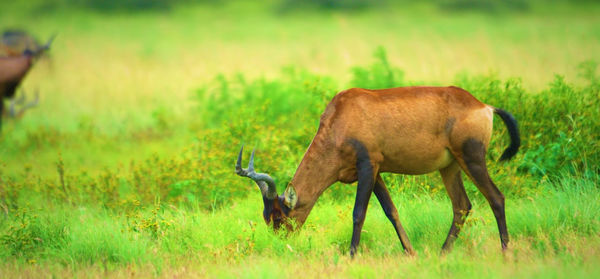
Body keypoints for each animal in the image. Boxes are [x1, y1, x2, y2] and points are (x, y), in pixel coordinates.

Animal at [237, 86, 516, 258]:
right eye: (266, 217)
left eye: (278, 217)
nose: (277, 247)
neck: (343, 115)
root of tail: (484, 106)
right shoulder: (377, 171)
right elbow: (391, 211)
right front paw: (411, 253)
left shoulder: (367, 165)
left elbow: (358, 213)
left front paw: (351, 255)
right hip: (449, 167)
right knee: (462, 206)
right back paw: (442, 253)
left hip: (472, 159)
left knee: (496, 198)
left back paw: (505, 252)